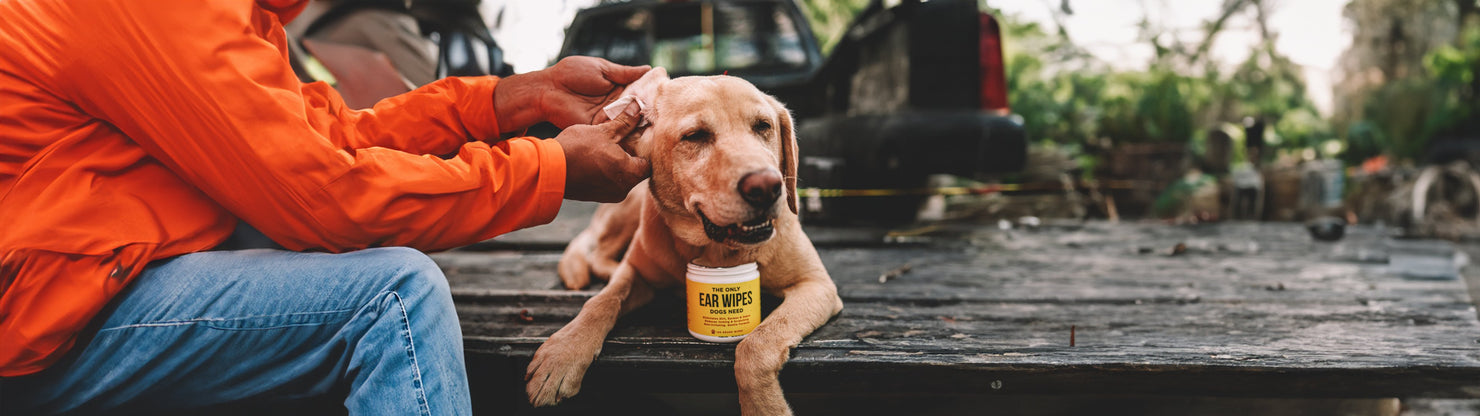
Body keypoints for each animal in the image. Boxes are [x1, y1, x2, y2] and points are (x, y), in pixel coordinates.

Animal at [526, 72, 840, 411]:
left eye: (762, 126)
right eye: (696, 136)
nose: (767, 187)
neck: (717, 250)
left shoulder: (816, 285)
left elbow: (756, 342)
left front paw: (765, 406)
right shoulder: (635, 272)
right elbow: (601, 302)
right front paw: (563, 353)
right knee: (601, 250)